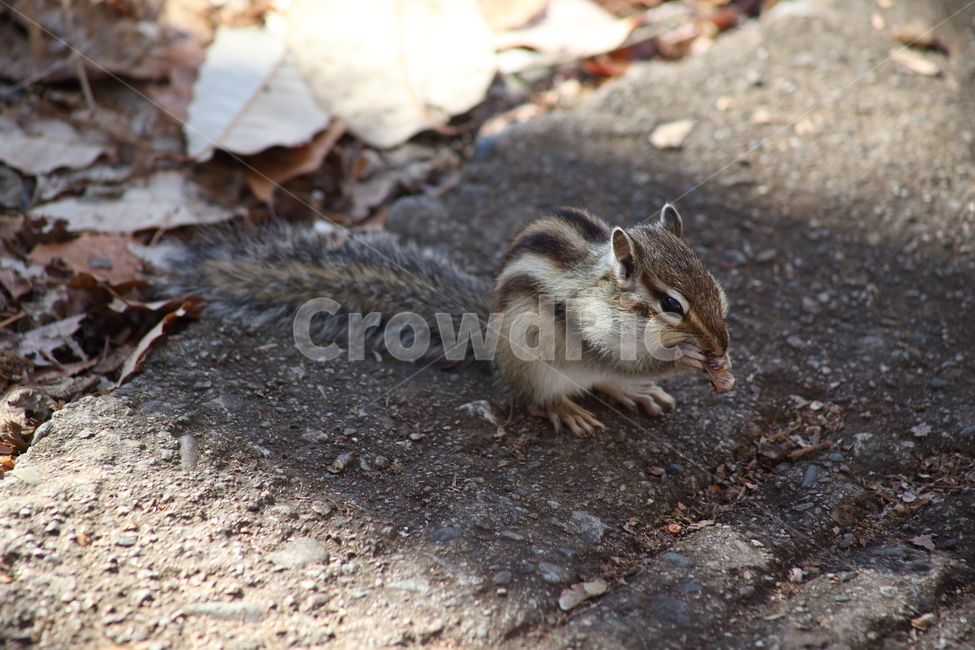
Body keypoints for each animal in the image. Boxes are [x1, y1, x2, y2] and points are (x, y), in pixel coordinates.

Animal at [165, 204, 733, 436]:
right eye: (671, 305)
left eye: (714, 282)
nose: (723, 344)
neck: (608, 293)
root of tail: (488, 335)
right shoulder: (589, 329)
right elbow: (621, 357)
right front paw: (689, 358)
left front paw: (719, 366)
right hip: (532, 367)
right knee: (541, 396)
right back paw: (568, 409)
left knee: (604, 383)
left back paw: (633, 394)